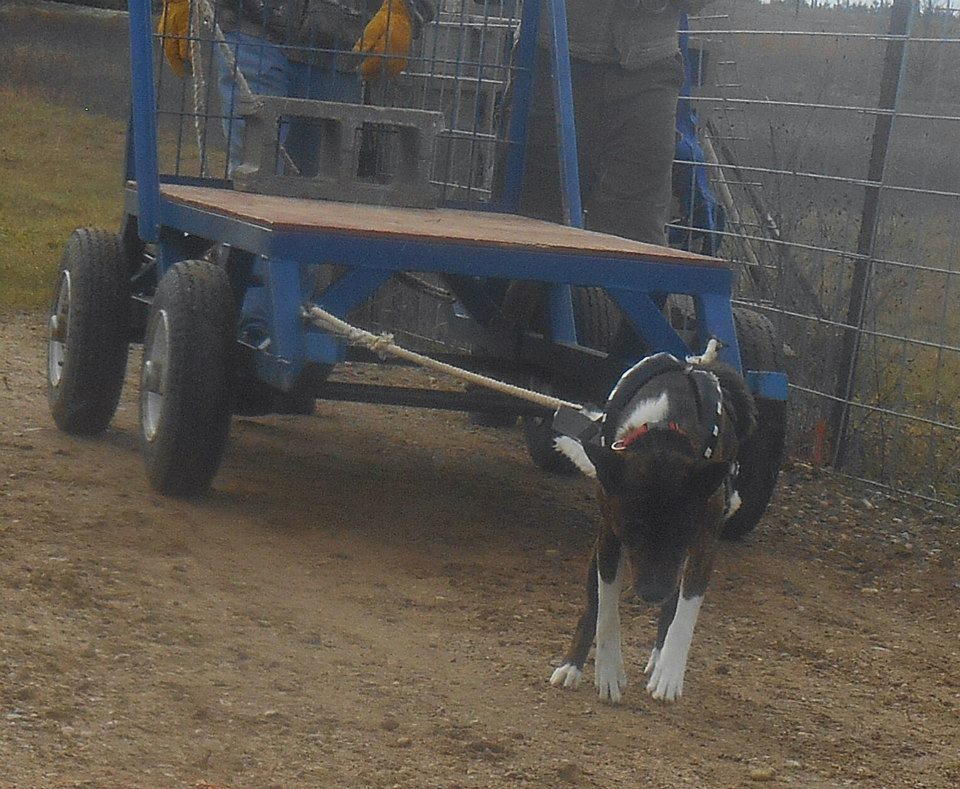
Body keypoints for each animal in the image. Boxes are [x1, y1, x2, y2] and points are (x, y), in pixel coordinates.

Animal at [548, 344, 756, 700]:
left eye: (681, 535)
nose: (651, 594)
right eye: (632, 534)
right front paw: (608, 671)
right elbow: (605, 608)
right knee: (593, 604)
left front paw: (669, 672)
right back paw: (572, 665)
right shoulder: (610, 536)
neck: (662, 433)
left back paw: (660, 655)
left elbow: (685, 608)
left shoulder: (702, 542)